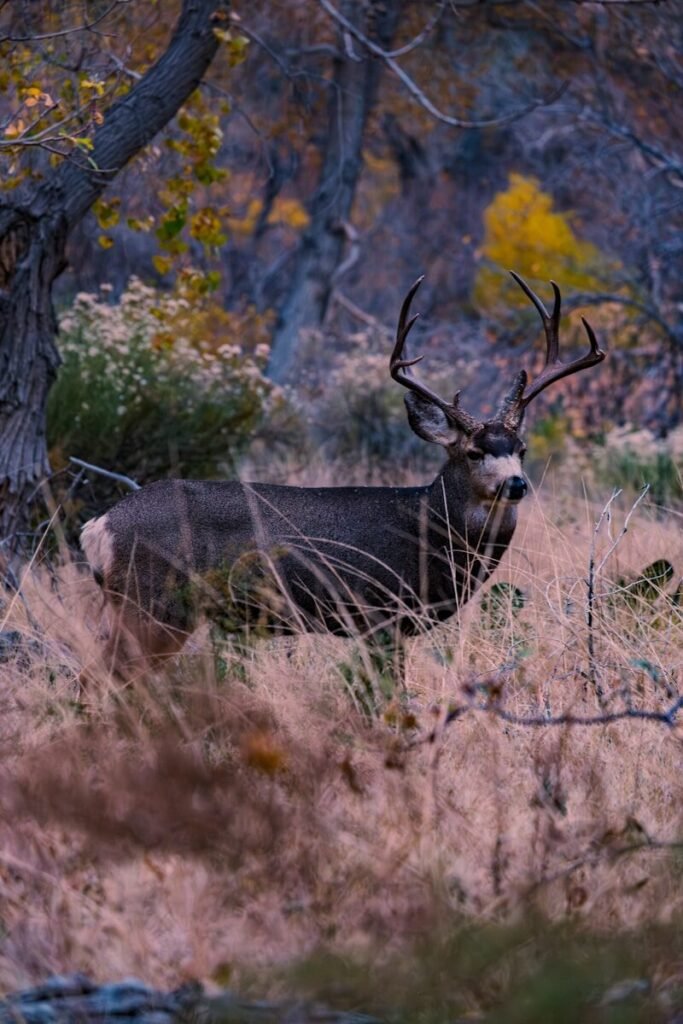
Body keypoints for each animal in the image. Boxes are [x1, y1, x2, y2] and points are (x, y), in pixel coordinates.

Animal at [80, 272, 605, 684]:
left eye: (521, 449)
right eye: (475, 452)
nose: (516, 484)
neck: (428, 530)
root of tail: (99, 526)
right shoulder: (381, 615)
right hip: (155, 602)